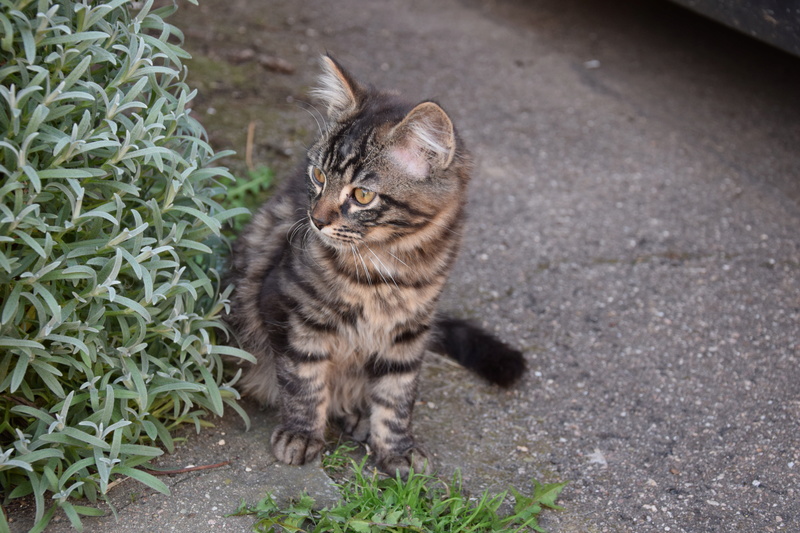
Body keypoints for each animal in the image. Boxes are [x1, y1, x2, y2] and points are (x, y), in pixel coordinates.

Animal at [225, 54, 524, 476]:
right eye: (318, 175)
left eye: (362, 195)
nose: (316, 219)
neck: (384, 269)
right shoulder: (290, 309)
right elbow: (304, 381)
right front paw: (301, 434)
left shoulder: (408, 332)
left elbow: (396, 395)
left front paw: (396, 448)